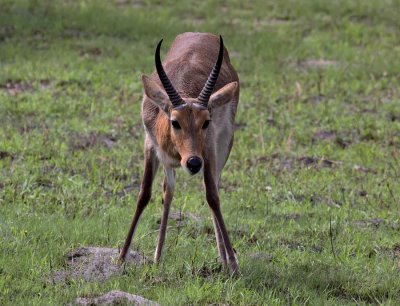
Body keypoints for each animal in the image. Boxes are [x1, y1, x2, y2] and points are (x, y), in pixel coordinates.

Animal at [117, 32, 239, 272]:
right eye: (175, 122)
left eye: (206, 122)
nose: (193, 163)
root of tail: (202, 34)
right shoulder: (150, 146)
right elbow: (144, 194)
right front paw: (122, 257)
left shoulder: (208, 149)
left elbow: (212, 196)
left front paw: (233, 263)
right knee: (168, 190)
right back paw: (157, 256)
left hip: (223, 145)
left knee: (214, 187)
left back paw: (223, 257)